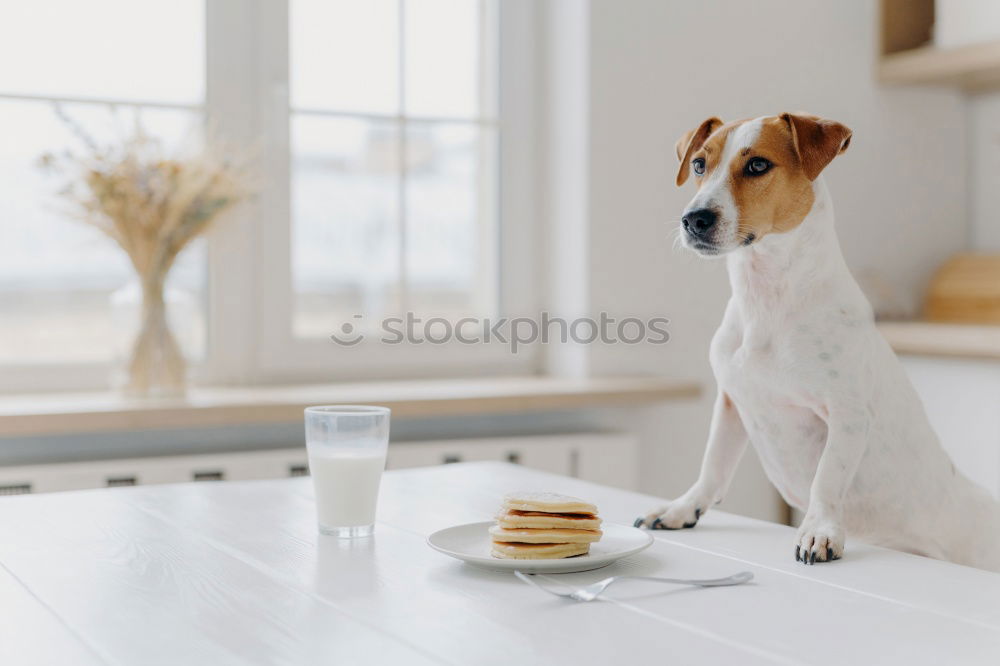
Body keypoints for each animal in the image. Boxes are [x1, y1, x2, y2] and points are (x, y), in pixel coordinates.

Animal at [636, 111, 1000, 568]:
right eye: (700, 164)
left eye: (758, 165)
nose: (694, 219)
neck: (766, 299)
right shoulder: (732, 403)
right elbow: (712, 465)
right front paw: (683, 508)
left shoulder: (847, 415)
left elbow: (827, 480)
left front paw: (820, 531)